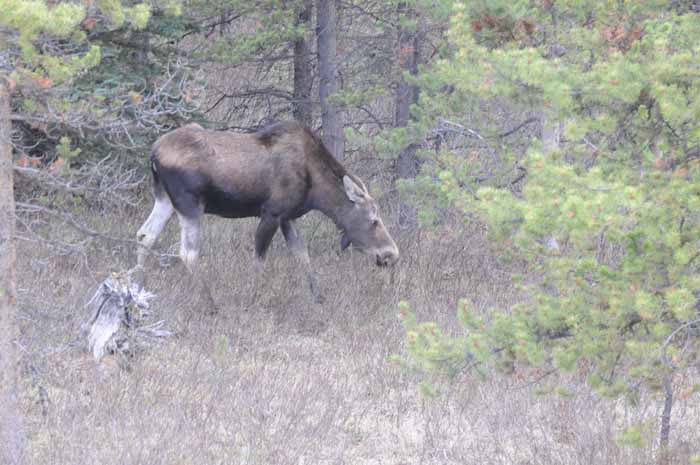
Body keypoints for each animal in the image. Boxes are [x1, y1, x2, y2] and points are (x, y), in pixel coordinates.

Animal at [135, 119, 400, 302]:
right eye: (374, 220)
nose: (391, 254)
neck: (316, 190)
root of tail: (153, 153)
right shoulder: (271, 213)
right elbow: (259, 260)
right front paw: (253, 297)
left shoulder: (287, 217)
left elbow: (302, 255)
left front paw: (317, 297)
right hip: (189, 203)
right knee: (188, 253)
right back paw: (210, 302)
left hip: (164, 199)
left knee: (145, 235)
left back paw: (136, 288)